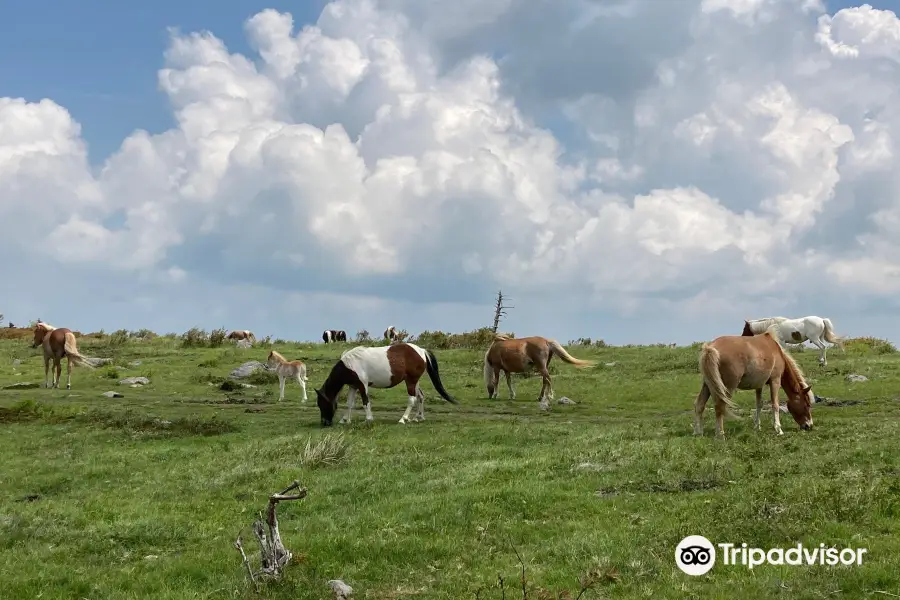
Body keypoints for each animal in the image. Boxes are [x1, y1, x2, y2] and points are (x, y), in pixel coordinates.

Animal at [314, 342, 458, 426]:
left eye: (322, 404)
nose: (324, 423)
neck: (350, 364)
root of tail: (422, 351)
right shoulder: (353, 386)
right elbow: (350, 403)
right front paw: (345, 420)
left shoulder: (362, 385)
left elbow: (365, 402)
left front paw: (368, 419)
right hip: (415, 381)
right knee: (420, 396)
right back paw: (418, 417)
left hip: (411, 381)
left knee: (412, 399)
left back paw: (403, 419)